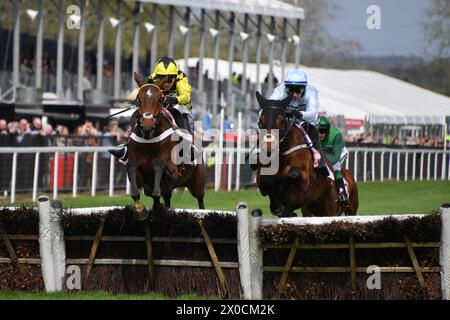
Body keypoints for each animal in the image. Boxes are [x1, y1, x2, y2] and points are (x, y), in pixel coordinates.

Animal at [125, 73, 206, 221]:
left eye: (160, 99)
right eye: (138, 98)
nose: (147, 125)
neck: (149, 141)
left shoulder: (171, 170)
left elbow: (160, 169)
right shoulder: (136, 168)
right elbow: (136, 190)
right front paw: (140, 211)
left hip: (198, 183)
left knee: (200, 201)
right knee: (166, 198)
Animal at [256, 90, 358, 218]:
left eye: (281, 120)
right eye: (260, 122)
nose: (268, 149)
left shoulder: (304, 179)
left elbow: (294, 175)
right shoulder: (262, 178)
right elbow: (266, 180)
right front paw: (277, 205)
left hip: (337, 210)